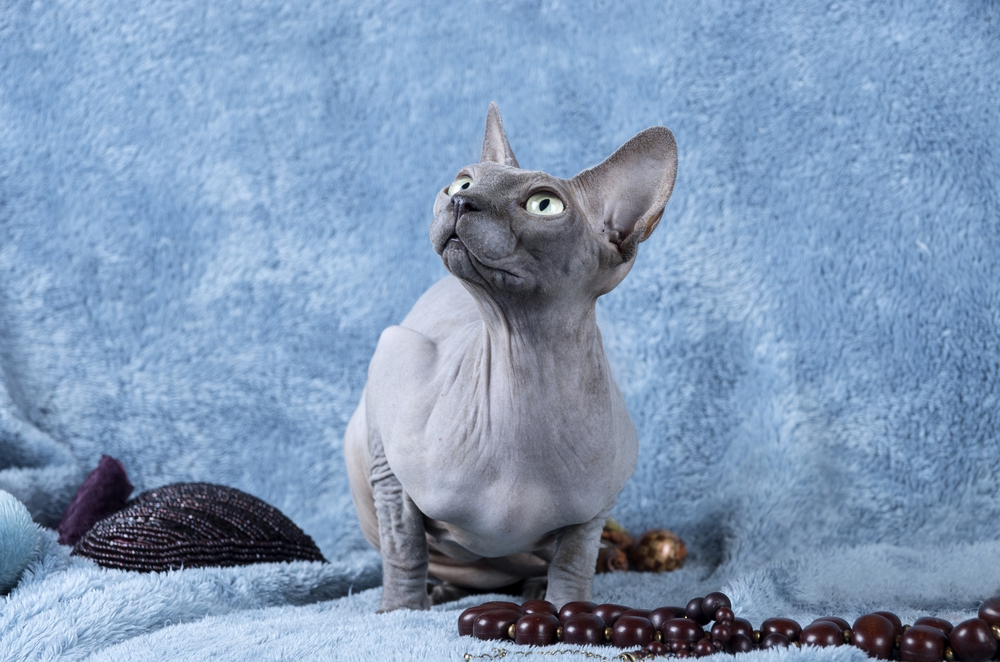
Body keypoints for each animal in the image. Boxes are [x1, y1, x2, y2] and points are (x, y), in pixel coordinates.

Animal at [346, 104, 680, 612]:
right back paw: (442, 590)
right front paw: (399, 612)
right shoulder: (393, 371)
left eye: (544, 205)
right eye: (463, 182)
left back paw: (530, 588)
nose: (462, 200)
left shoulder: (596, 510)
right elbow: (404, 547)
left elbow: (574, 563)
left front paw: (565, 609)